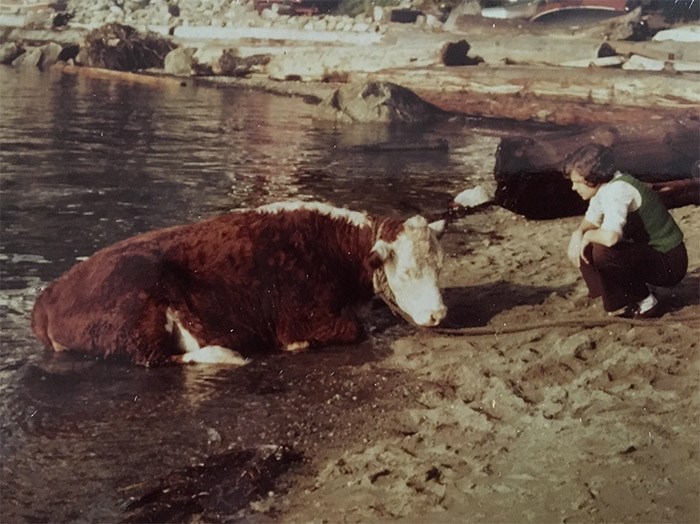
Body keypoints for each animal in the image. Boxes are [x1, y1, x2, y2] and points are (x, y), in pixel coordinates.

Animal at [30, 200, 446, 364]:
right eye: (406, 272)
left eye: (439, 266)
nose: (439, 314)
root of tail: (48, 296)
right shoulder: (303, 317)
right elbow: (353, 329)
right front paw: (296, 345)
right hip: (139, 313)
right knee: (157, 358)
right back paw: (225, 355)